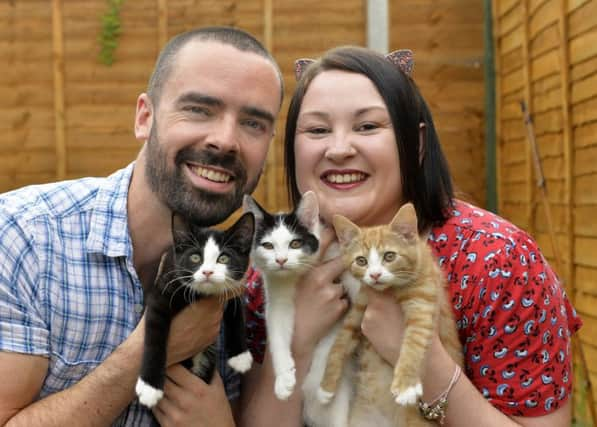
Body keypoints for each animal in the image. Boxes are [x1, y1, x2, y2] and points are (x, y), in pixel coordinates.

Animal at [135, 213, 254, 408]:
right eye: (195, 258)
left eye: (223, 258)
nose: (207, 272)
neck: (202, 295)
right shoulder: (163, 290)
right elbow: (155, 335)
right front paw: (150, 387)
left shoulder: (233, 287)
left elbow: (237, 312)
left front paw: (240, 355)